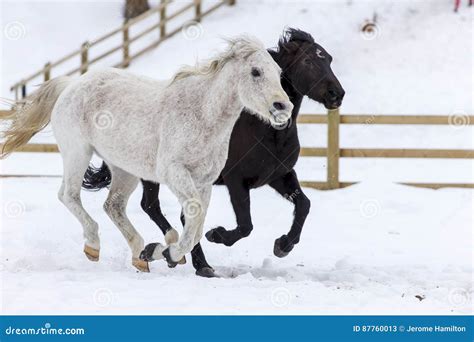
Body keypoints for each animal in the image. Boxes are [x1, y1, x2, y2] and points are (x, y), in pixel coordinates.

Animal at [1, 36, 292, 272]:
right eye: (255, 72)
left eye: (278, 72)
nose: (283, 107)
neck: (202, 115)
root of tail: (72, 83)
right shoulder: (174, 172)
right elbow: (194, 218)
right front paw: (168, 252)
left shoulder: (204, 181)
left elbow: (197, 227)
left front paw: (161, 252)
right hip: (77, 153)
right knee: (69, 195)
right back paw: (94, 245)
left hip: (125, 169)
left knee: (113, 205)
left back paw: (139, 253)